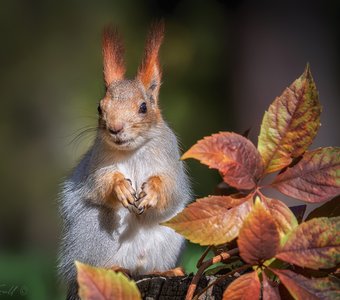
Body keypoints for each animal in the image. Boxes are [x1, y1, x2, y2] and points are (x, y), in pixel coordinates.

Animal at [58, 22, 191, 298]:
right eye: (100, 107)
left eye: (143, 107)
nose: (115, 128)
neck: (133, 150)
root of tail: (134, 265)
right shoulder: (96, 164)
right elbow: (99, 184)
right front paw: (119, 187)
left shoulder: (171, 161)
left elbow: (172, 188)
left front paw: (152, 191)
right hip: (93, 233)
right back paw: (113, 268)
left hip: (171, 233)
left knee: (150, 266)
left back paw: (166, 270)